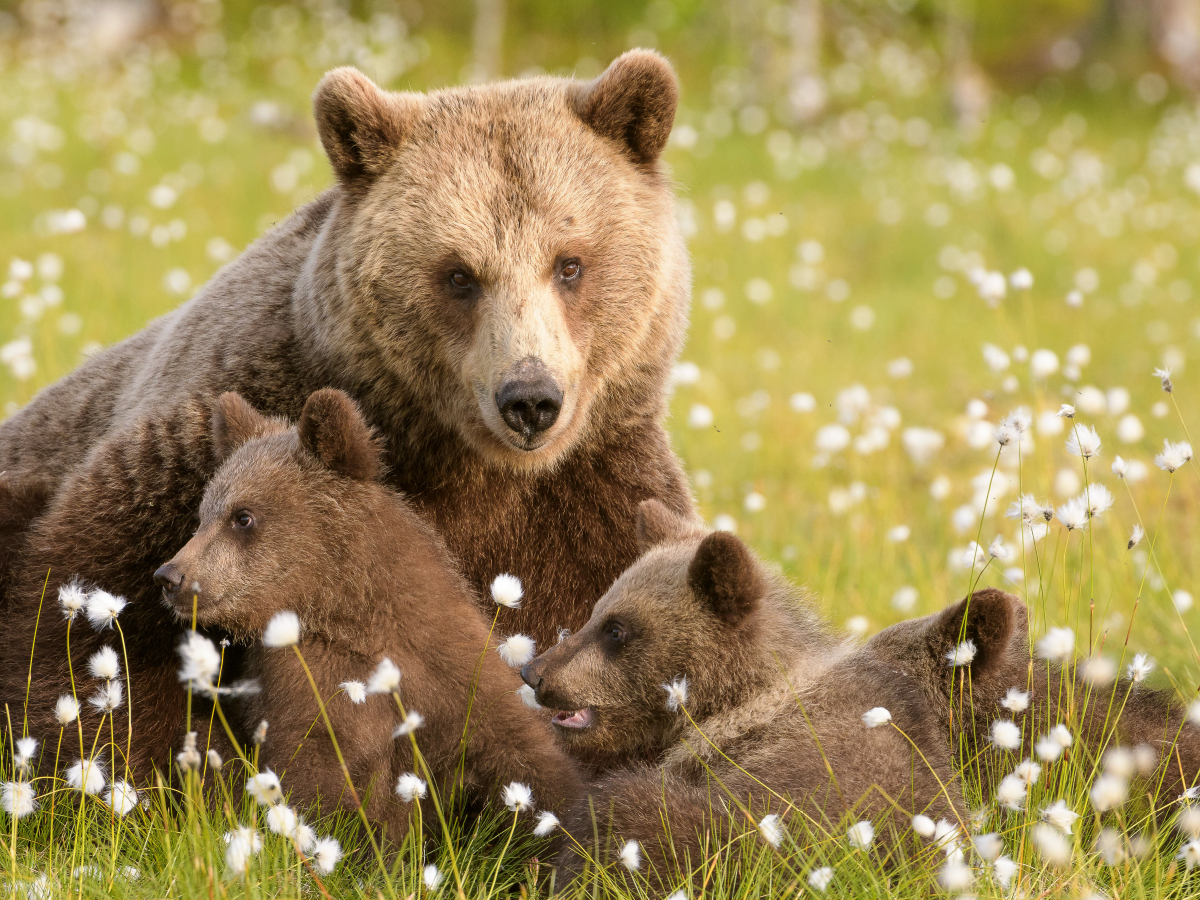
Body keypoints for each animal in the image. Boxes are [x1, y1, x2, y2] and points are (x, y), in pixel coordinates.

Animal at [0, 51, 696, 777]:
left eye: (570, 264)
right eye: (459, 274)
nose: (529, 399)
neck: (464, 462)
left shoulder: (589, 494)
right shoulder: (217, 435)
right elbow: (91, 625)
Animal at [153, 391, 580, 844]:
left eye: (242, 515)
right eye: (203, 515)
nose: (171, 576)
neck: (351, 619)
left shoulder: (455, 679)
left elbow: (527, 762)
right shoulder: (308, 691)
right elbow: (312, 779)